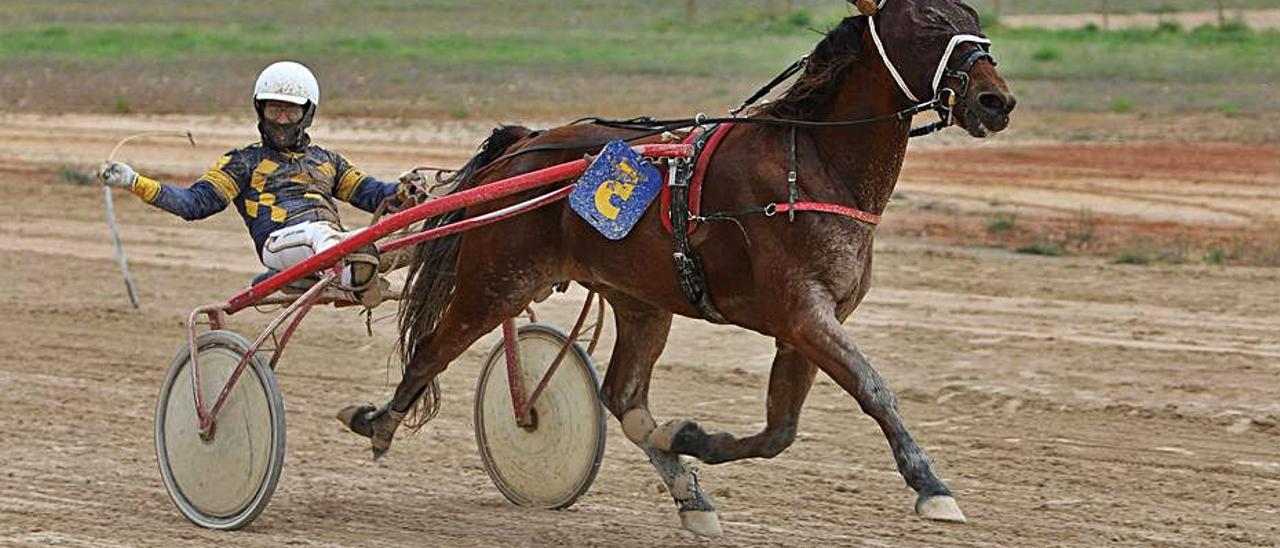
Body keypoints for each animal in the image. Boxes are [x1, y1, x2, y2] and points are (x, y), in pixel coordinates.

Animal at [343, 0, 1018, 535]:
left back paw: (688, 492)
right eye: (930, 22)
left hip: (641, 301)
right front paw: (932, 488)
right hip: (496, 281)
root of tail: (522, 148)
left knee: (623, 398)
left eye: (974, 17)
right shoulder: (804, 312)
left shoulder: (805, 325)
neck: (814, 164)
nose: (997, 100)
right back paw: (378, 423)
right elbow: (873, 389)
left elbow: (779, 431)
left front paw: (687, 438)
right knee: (432, 349)